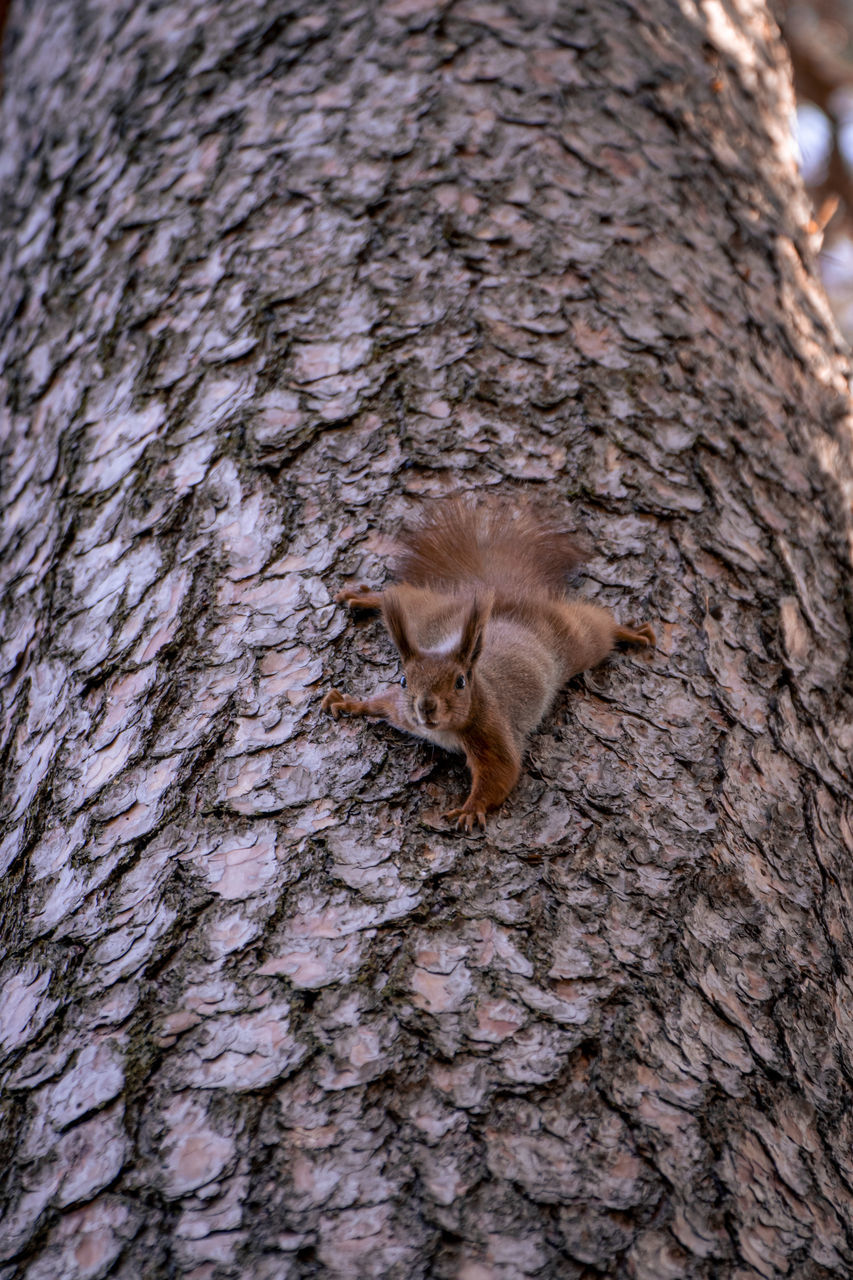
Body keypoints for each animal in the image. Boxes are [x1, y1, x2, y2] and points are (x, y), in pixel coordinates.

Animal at [318, 494, 650, 834]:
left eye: (460, 682)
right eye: (403, 681)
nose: (425, 707)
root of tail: (503, 599)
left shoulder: (491, 728)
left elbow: (501, 771)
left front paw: (471, 808)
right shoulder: (401, 709)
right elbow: (381, 702)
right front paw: (349, 703)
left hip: (575, 640)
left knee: (598, 627)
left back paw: (630, 632)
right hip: (428, 615)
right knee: (402, 597)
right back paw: (366, 598)